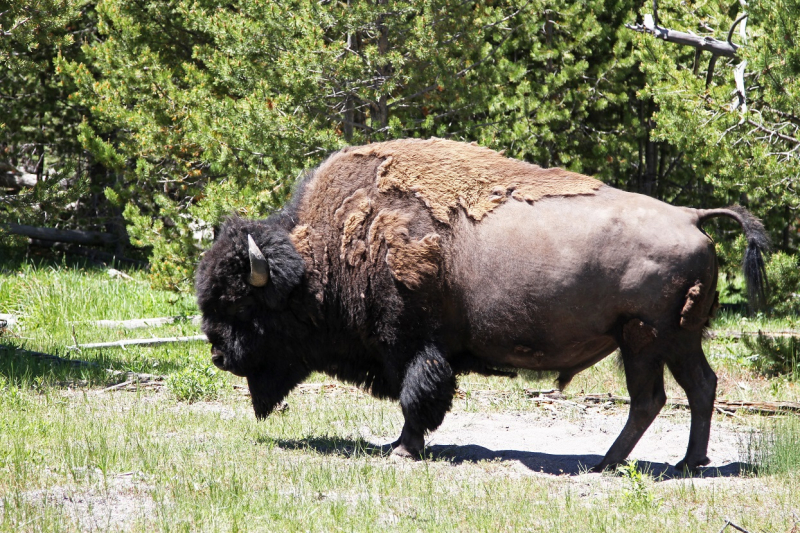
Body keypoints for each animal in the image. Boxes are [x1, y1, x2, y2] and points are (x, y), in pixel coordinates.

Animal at [195, 137, 768, 470]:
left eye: (242, 306)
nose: (219, 356)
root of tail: (690, 216)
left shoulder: (411, 345)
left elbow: (417, 395)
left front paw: (402, 450)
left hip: (646, 339)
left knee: (652, 399)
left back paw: (609, 463)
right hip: (675, 340)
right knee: (699, 387)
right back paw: (685, 462)